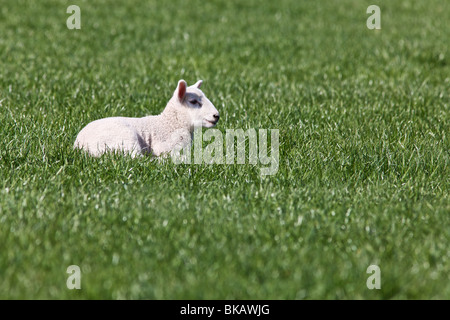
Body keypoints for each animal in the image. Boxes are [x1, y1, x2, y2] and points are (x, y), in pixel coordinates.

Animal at [74, 80, 220, 158]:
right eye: (193, 101)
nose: (216, 116)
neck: (171, 123)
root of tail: (79, 146)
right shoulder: (169, 146)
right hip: (125, 138)